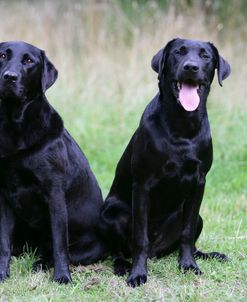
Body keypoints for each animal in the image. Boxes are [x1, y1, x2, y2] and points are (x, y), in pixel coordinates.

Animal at [0, 41, 105, 284]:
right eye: (2, 56)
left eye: (28, 61)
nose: (9, 77)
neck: (15, 127)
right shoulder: (4, 195)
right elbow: (4, 242)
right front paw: (1, 273)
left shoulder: (54, 194)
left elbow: (59, 245)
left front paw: (62, 277)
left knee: (52, 251)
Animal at [99, 39, 231, 286]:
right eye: (178, 52)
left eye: (205, 56)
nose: (191, 67)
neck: (182, 125)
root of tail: (156, 250)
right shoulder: (143, 184)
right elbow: (139, 237)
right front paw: (138, 274)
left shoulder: (199, 183)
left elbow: (187, 233)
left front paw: (188, 265)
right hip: (112, 214)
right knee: (120, 250)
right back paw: (123, 265)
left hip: (198, 217)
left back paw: (209, 255)